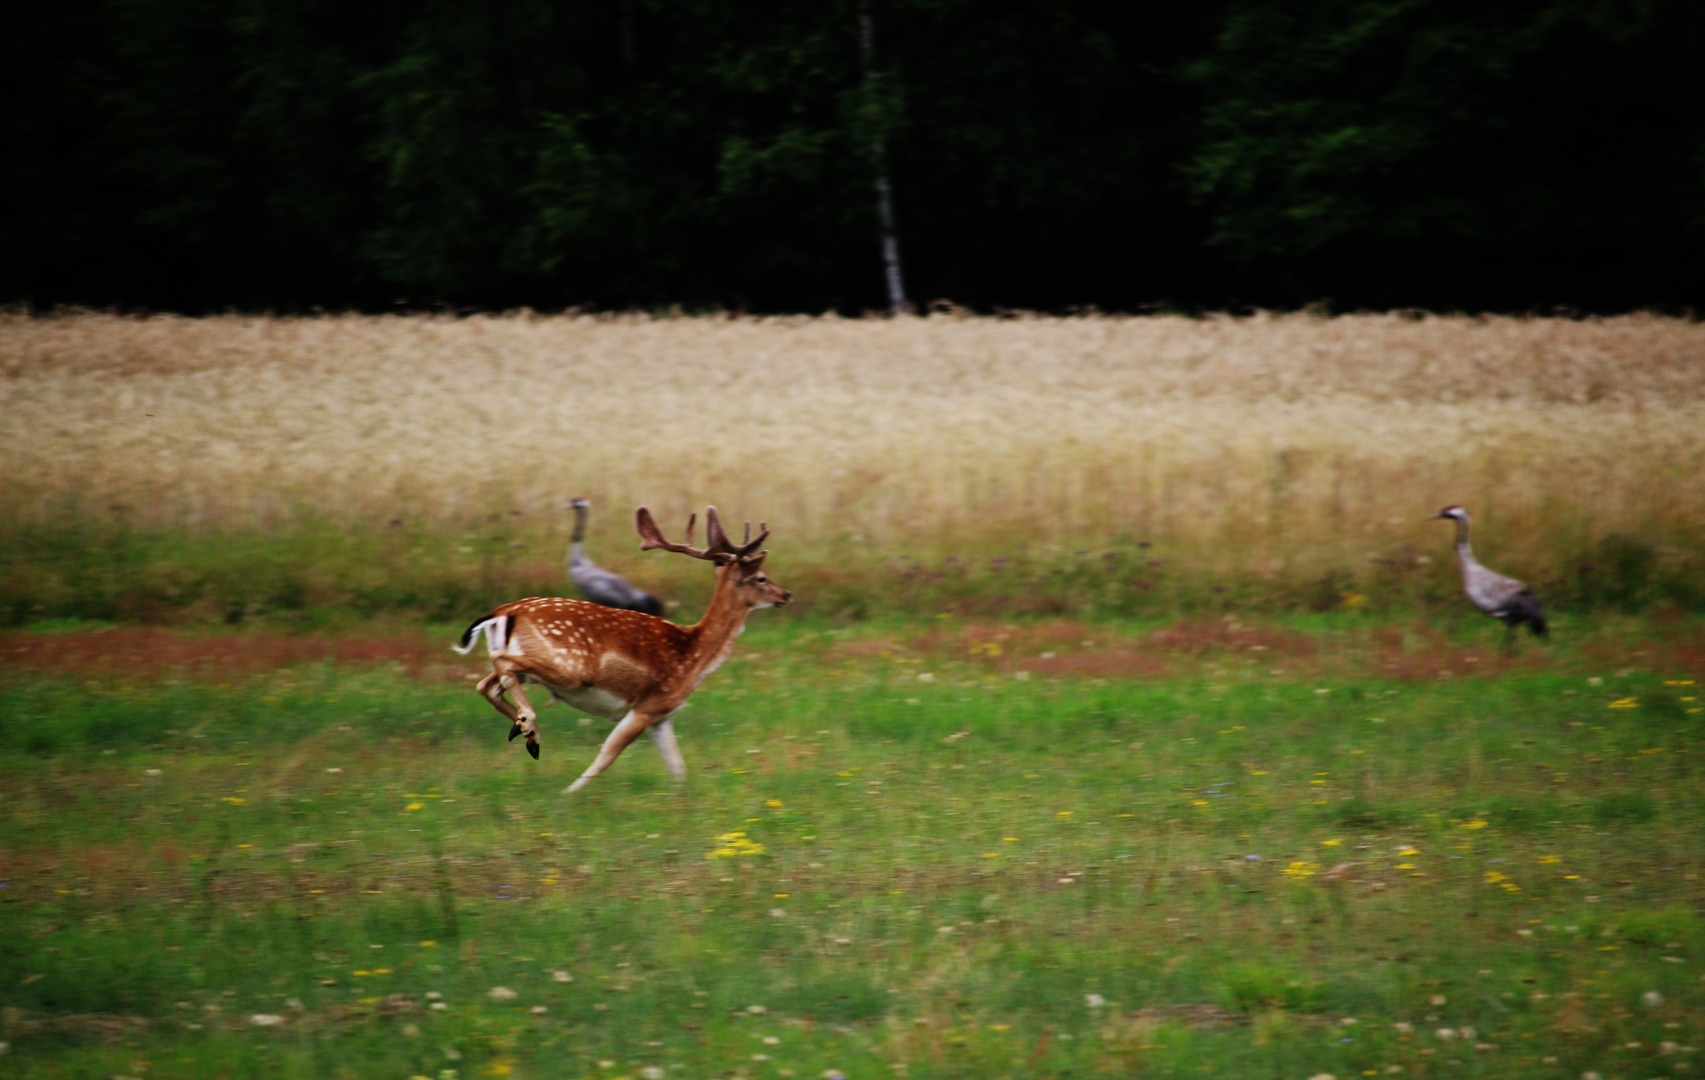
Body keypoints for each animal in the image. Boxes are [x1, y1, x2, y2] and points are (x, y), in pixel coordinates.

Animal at [456, 505, 794, 791]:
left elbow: (677, 767)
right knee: (500, 663)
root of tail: (503, 611)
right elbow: (608, 753)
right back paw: (529, 727)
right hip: (570, 665)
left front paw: (682, 800)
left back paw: (526, 732)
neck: (695, 655)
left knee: (486, 684)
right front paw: (569, 794)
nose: (787, 594)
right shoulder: (648, 705)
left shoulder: (663, 715)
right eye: (761, 578)